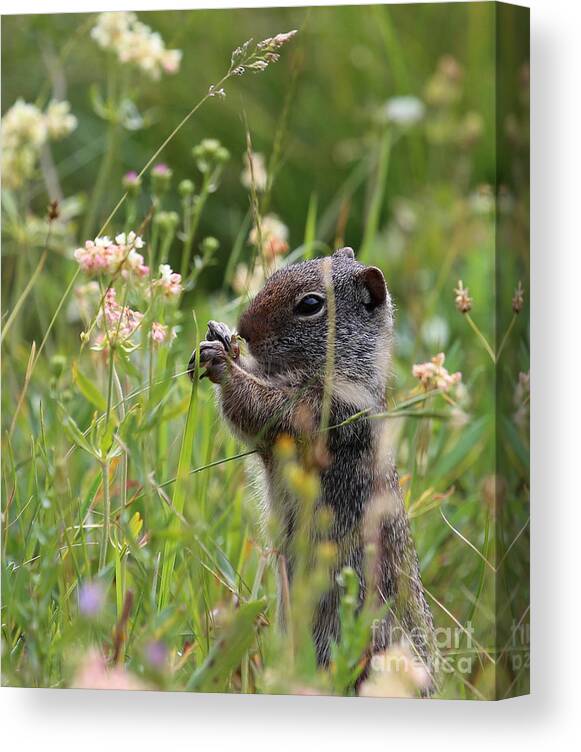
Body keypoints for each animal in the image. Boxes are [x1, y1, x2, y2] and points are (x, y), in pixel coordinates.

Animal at [189, 248, 436, 688]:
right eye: (278, 274)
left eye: (310, 305)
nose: (244, 329)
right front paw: (220, 339)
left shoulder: (322, 414)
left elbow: (258, 408)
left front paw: (226, 365)